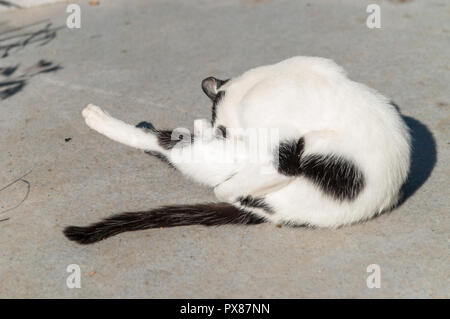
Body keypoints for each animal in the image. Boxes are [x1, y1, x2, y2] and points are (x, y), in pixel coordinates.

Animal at [63, 57, 412, 245]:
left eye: (226, 129)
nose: (220, 131)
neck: (264, 81)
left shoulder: (276, 159)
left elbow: (222, 188)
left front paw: (222, 188)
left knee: (171, 147)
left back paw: (98, 118)